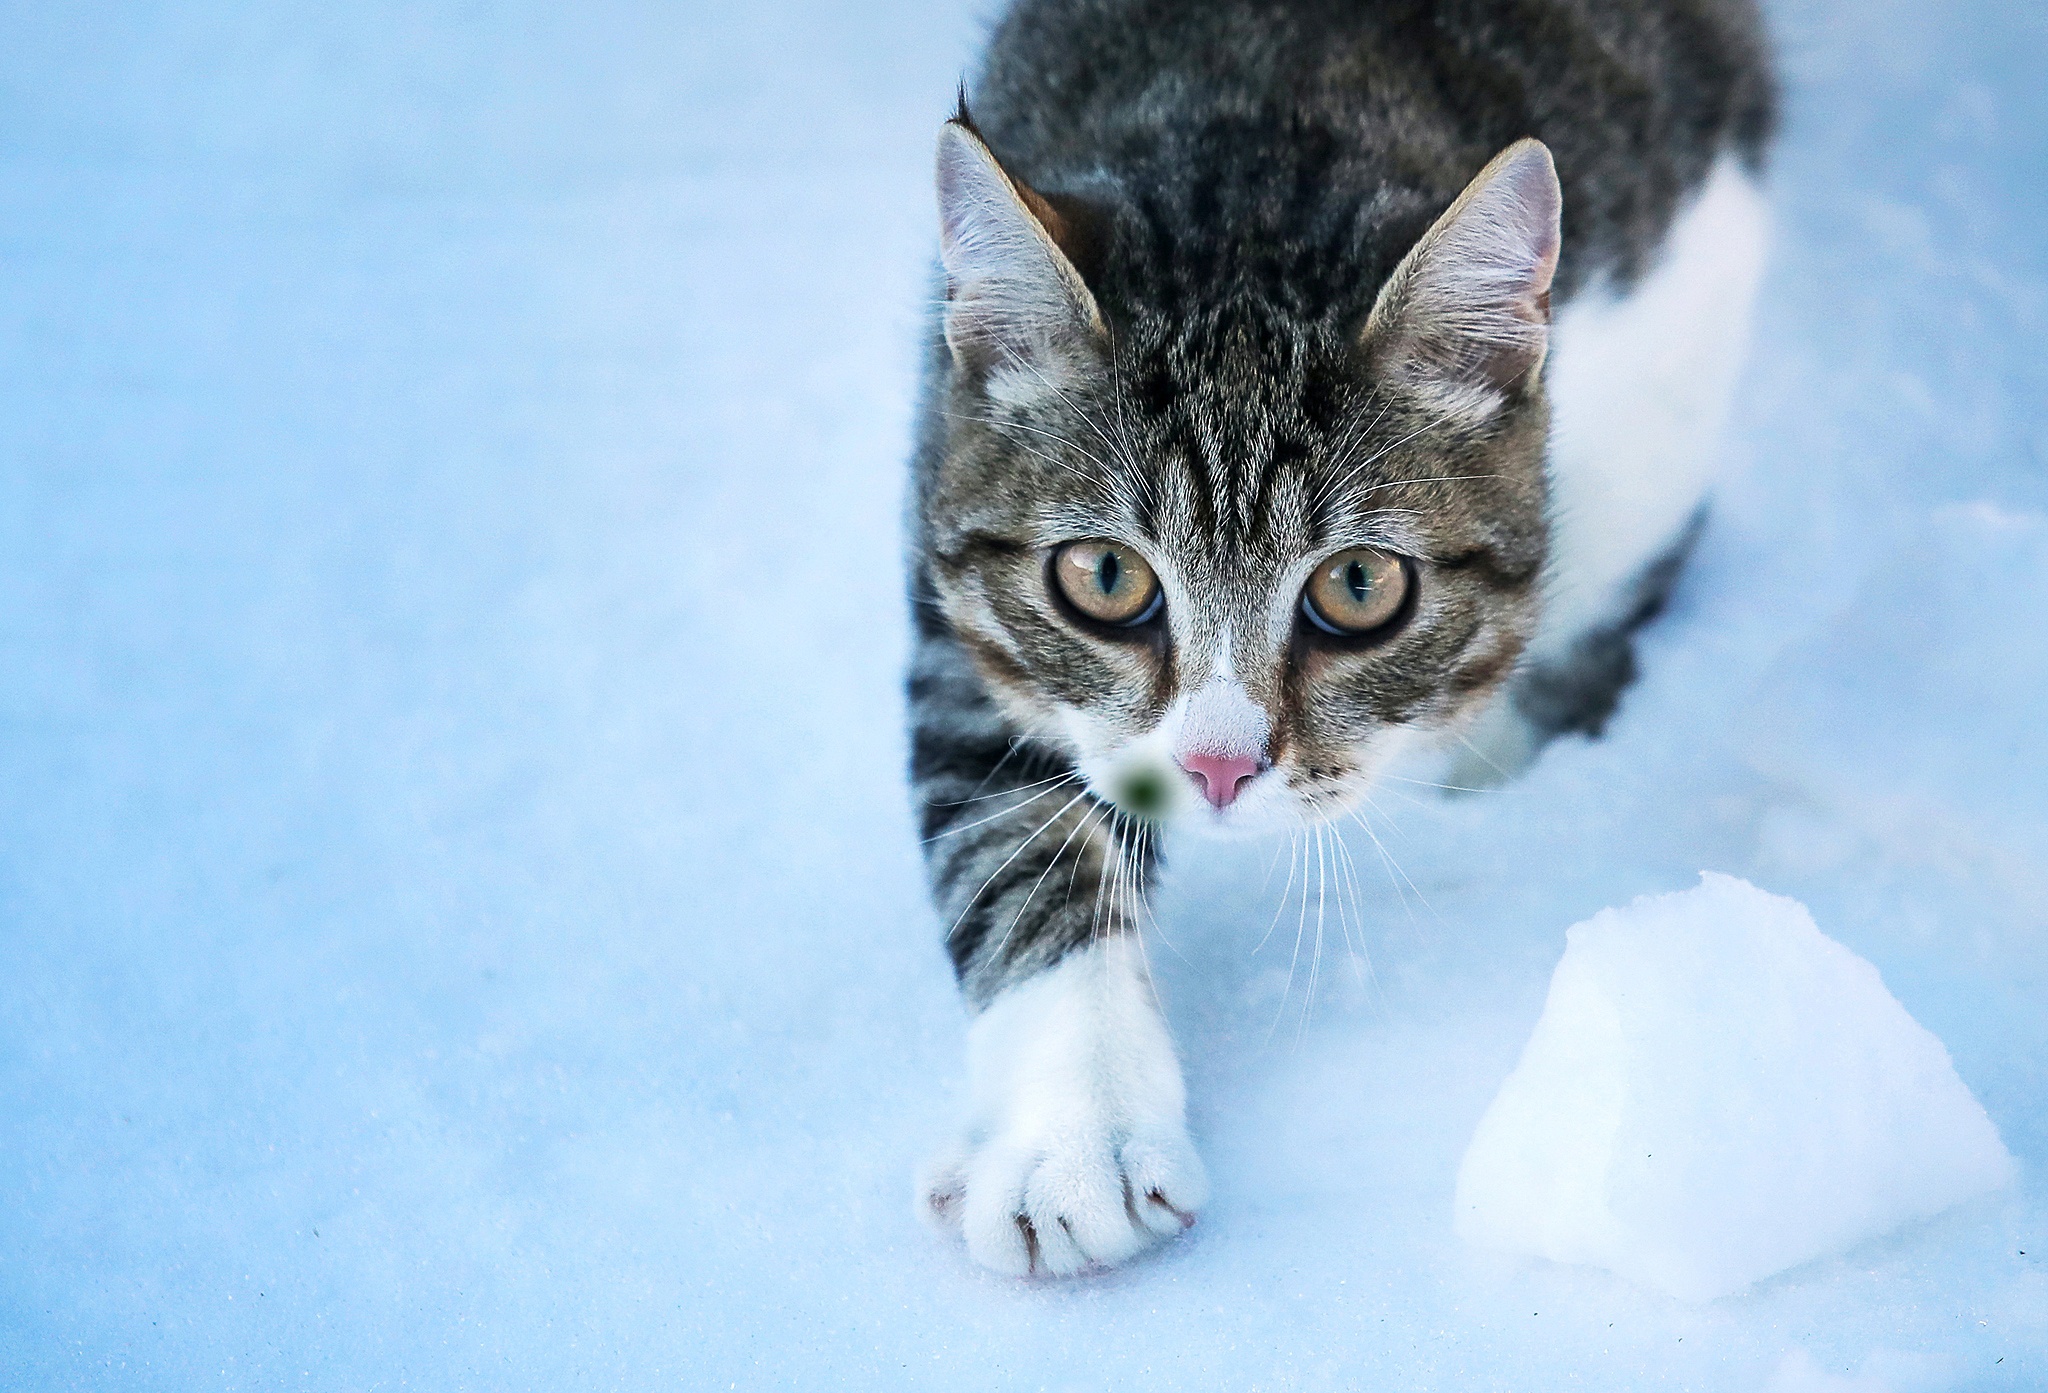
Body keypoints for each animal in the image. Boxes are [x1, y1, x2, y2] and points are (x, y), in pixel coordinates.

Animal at [905, 0, 1769, 1270]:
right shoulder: (956, 510)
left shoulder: (1688, 254)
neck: (1272, 120)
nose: (1216, 768)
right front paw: (1075, 1137)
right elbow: (1009, 819)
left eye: (1359, 585)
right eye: (1104, 577)